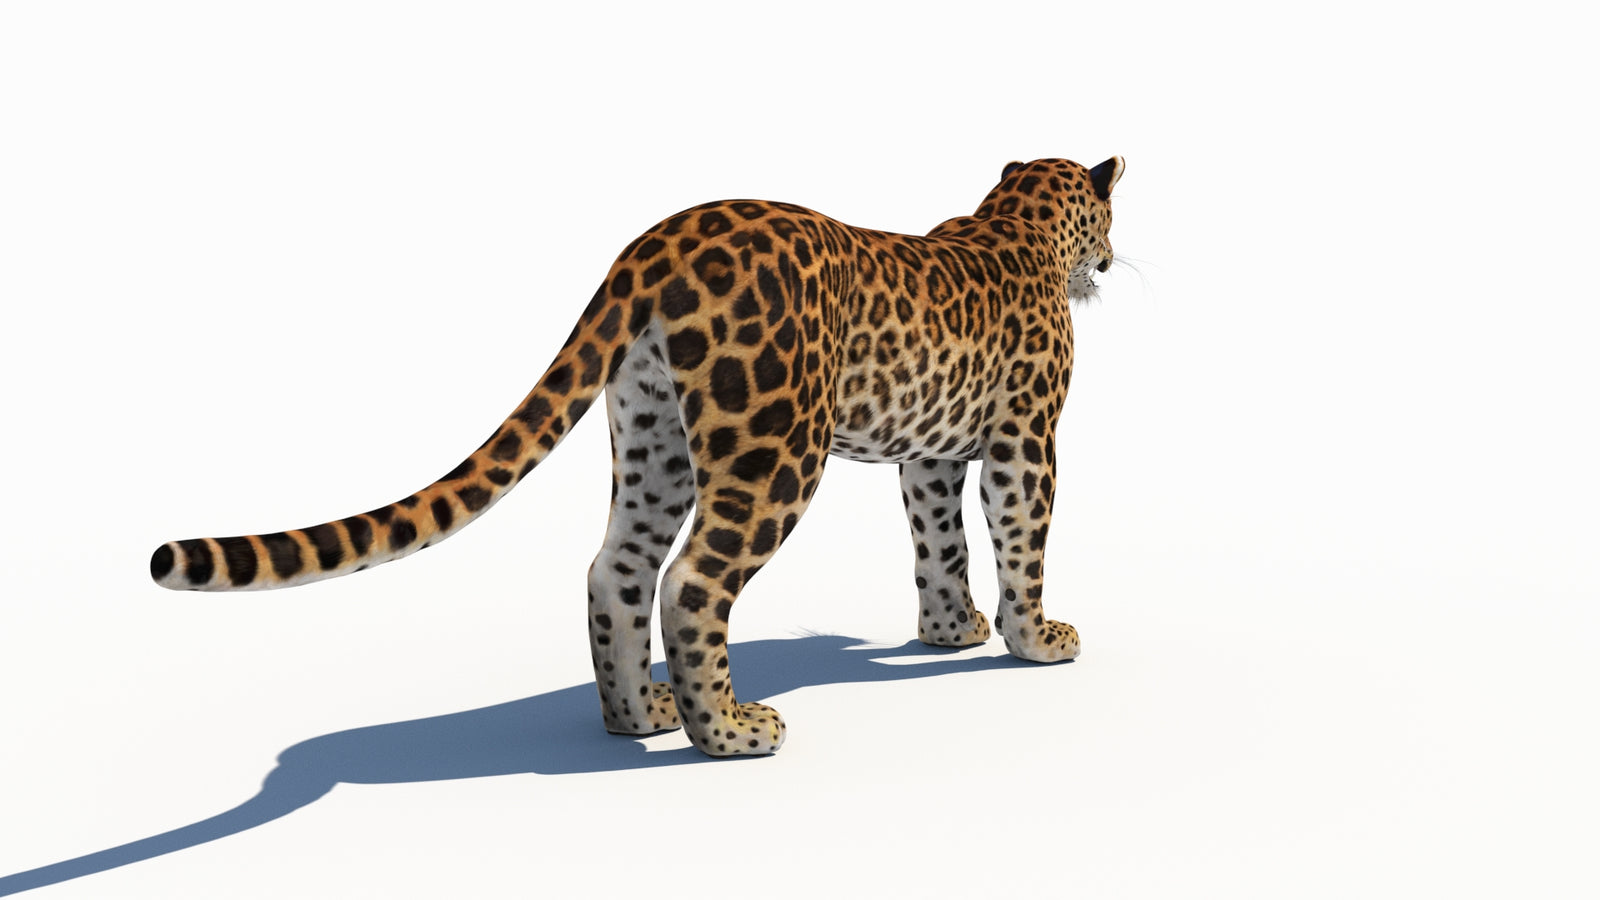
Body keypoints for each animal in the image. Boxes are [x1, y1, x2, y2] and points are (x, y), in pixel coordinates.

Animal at [150, 156, 1126, 757]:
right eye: (1110, 219)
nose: (1112, 260)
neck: (1018, 222)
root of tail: (658, 242)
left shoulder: (931, 455)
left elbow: (939, 545)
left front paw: (948, 632)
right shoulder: (1025, 441)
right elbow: (1020, 543)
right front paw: (1035, 641)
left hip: (655, 435)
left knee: (614, 567)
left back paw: (638, 718)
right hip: (773, 444)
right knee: (692, 579)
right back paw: (726, 731)